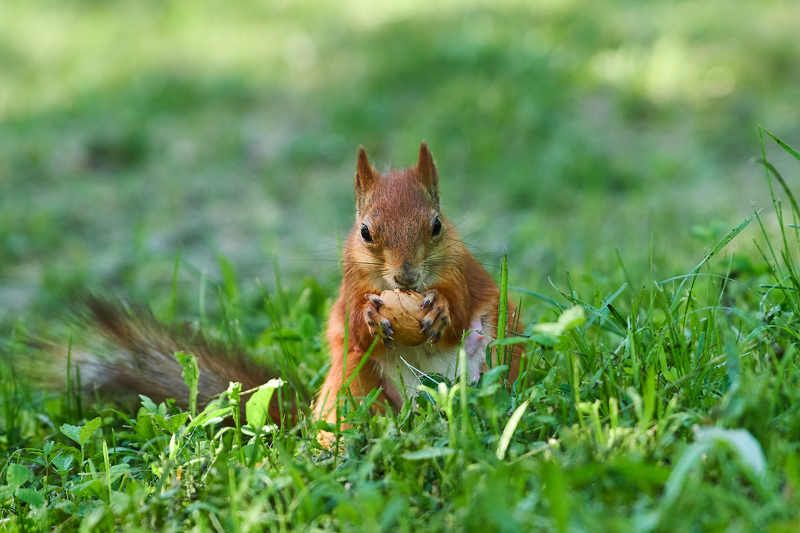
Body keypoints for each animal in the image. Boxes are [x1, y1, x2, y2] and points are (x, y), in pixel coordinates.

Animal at [63, 143, 516, 435]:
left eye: (437, 226)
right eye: (365, 232)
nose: (406, 278)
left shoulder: (461, 270)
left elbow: (460, 303)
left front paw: (440, 309)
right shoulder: (351, 283)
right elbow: (353, 320)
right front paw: (371, 316)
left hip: (502, 352)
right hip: (353, 384)